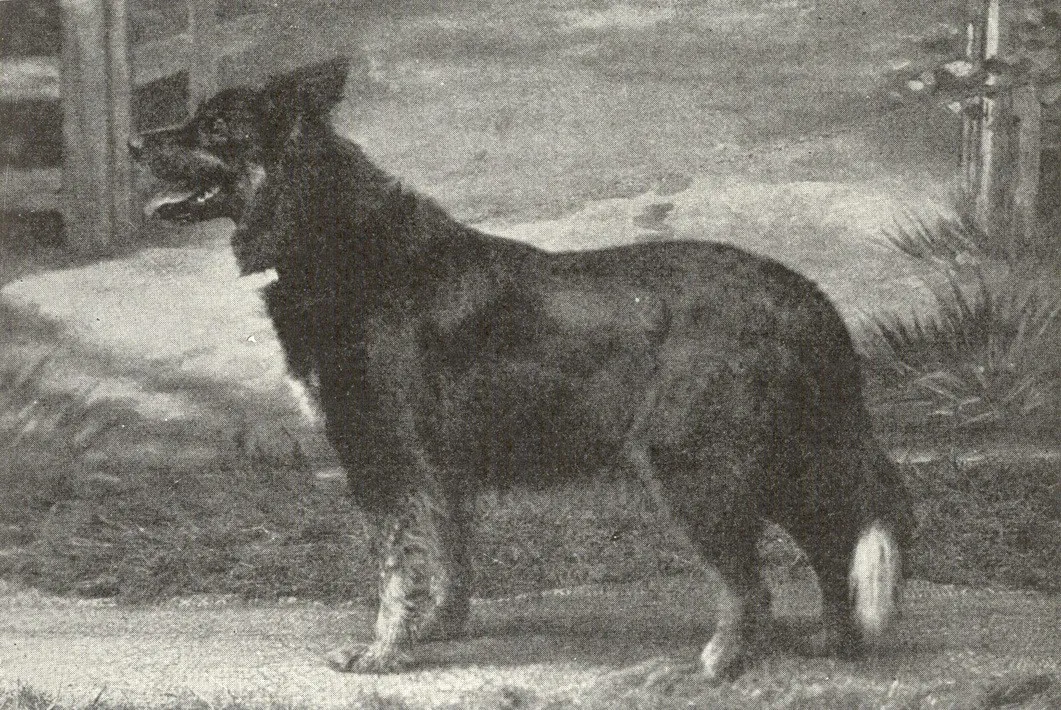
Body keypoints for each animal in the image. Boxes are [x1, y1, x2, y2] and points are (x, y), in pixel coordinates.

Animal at [130, 58, 912, 679]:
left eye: (214, 128)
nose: (135, 141)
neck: (336, 241)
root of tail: (806, 297)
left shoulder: (383, 453)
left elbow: (397, 566)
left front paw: (383, 652)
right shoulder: (437, 467)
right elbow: (446, 556)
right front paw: (438, 631)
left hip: (696, 460)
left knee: (751, 582)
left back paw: (718, 664)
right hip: (782, 453)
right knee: (832, 539)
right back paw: (833, 642)